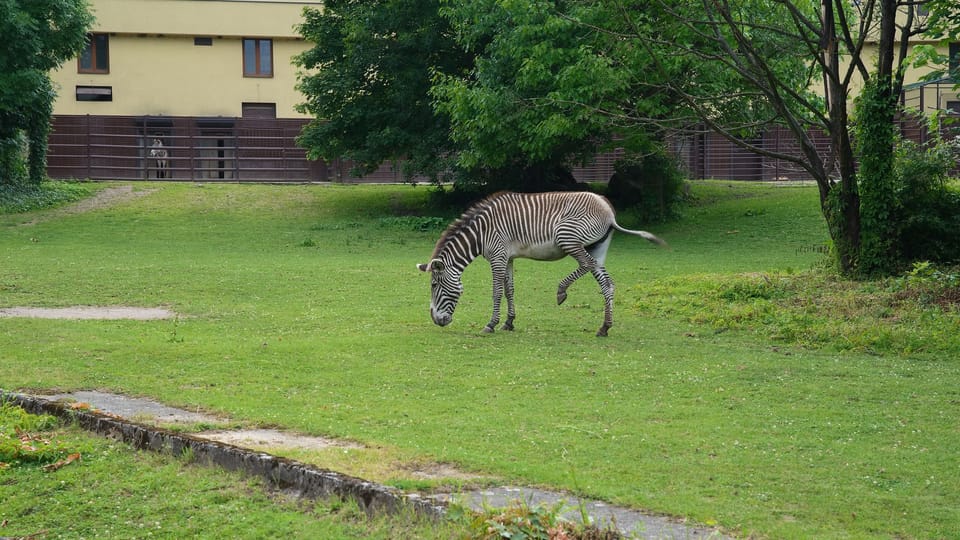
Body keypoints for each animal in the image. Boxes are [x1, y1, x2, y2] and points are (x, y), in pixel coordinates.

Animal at [417, 191, 666, 337]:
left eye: (434, 286)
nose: (436, 321)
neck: (480, 233)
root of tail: (608, 208)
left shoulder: (497, 256)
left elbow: (497, 292)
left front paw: (491, 324)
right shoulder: (507, 257)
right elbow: (509, 289)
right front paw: (509, 322)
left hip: (568, 238)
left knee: (587, 265)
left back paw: (561, 291)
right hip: (597, 246)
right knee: (607, 284)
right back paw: (604, 327)